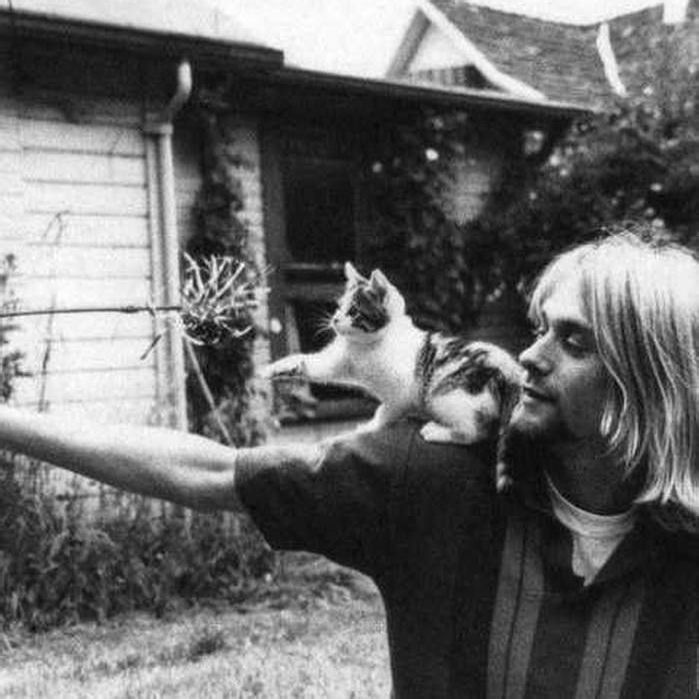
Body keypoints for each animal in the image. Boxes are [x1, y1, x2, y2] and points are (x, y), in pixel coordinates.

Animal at [262, 262, 523, 490]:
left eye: (353, 311)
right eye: (339, 307)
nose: (335, 319)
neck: (365, 346)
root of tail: (510, 368)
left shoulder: (402, 394)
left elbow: (385, 411)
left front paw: (370, 427)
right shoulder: (335, 363)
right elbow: (304, 362)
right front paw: (270, 369)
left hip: (446, 395)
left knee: (476, 431)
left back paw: (437, 430)